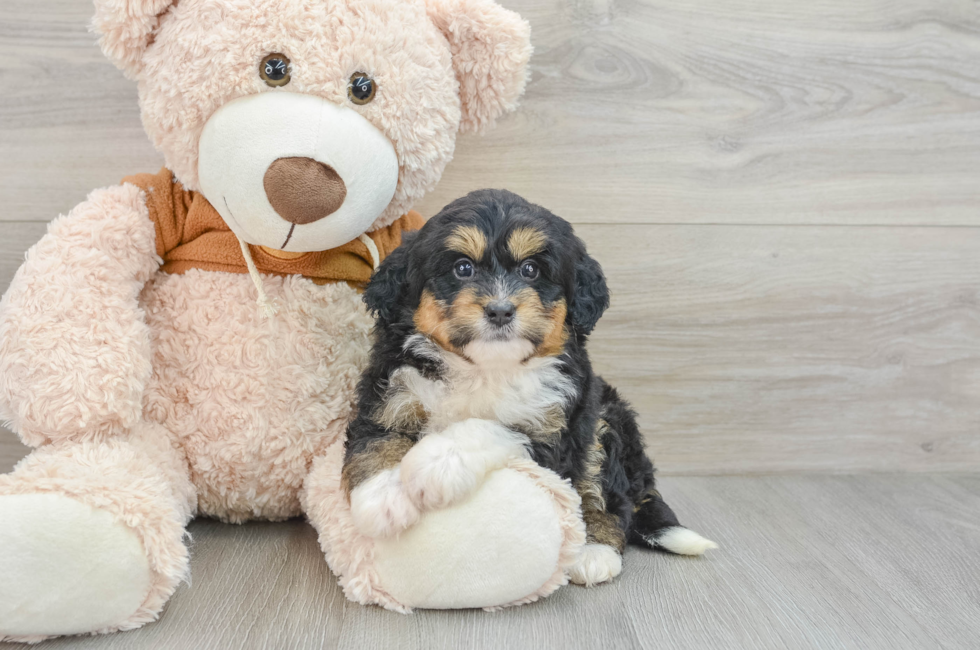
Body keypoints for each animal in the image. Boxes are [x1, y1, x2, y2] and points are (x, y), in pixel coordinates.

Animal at [340, 187, 716, 584]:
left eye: (531, 269)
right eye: (463, 268)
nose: (500, 310)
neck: (485, 367)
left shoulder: (554, 429)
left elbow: (488, 427)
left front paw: (435, 465)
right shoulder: (389, 394)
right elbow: (377, 443)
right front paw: (382, 499)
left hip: (605, 421)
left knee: (610, 495)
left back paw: (595, 550)